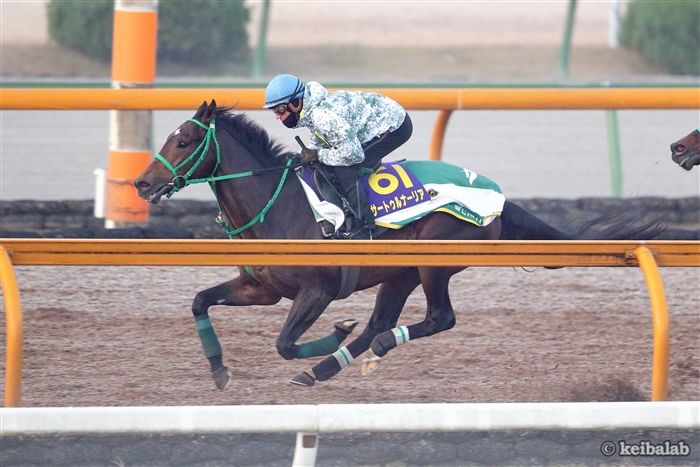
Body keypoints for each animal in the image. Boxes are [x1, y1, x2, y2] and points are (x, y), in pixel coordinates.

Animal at [135, 100, 662, 389]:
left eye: (184, 140)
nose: (142, 183)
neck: (276, 205)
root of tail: (495, 194)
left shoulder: (317, 291)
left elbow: (285, 344)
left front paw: (331, 333)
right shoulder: (261, 289)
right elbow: (200, 300)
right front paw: (219, 371)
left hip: (433, 261)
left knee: (435, 319)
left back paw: (359, 350)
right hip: (399, 272)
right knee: (379, 323)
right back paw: (330, 366)